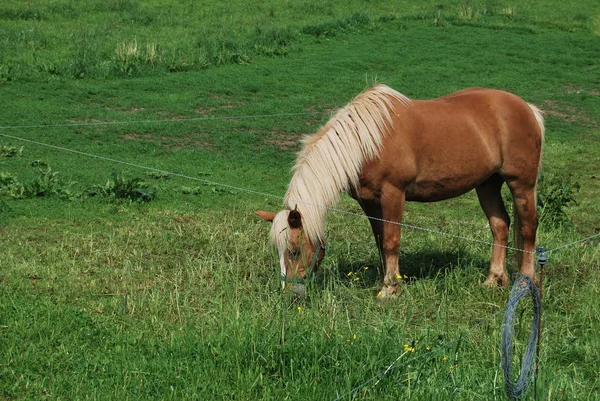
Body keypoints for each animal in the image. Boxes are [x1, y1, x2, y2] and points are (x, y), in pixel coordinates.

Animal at [255, 83, 548, 296]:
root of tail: (528, 109)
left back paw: (526, 280)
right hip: (487, 185)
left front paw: (390, 290)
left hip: (521, 183)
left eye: (294, 250)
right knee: (500, 225)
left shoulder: (393, 194)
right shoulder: (368, 201)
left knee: (528, 227)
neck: (366, 142)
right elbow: (380, 240)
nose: (290, 293)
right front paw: (384, 282)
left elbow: (391, 240)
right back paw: (493, 280)